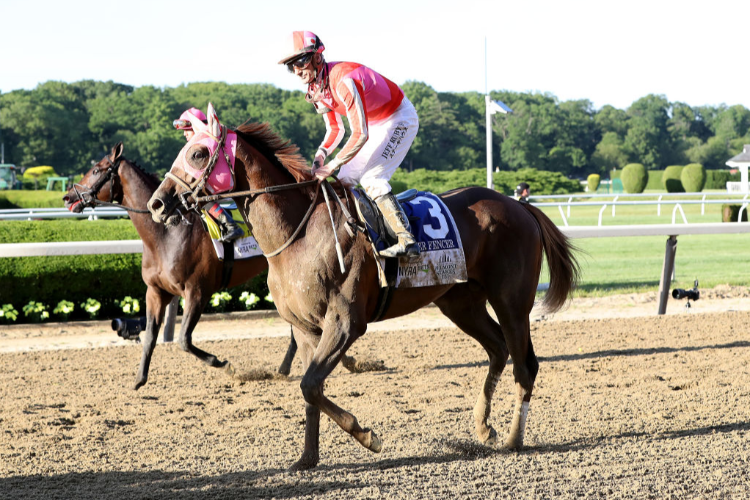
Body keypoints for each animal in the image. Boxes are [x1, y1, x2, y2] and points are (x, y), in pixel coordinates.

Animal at [64, 143, 300, 388]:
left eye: (96, 170)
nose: (68, 196)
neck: (166, 235)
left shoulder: (197, 291)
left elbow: (183, 340)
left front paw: (223, 364)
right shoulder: (156, 291)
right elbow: (150, 336)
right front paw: (139, 379)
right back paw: (284, 367)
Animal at [148, 119, 580, 470]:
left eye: (198, 153)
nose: (157, 202)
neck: (300, 236)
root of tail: (520, 207)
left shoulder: (345, 322)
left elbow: (310, 385)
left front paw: (367, 436)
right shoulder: (306, 328)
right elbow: (311, 388)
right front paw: (307, 459)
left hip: (511, 300)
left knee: (526, 364)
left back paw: (513, 440)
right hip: (460, 302)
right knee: (498, 350)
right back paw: (484, 427)